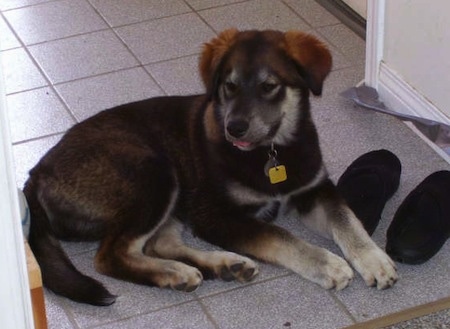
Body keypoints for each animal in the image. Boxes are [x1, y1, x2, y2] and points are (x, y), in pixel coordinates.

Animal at [24, 29, 398, 306]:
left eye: (269, 86)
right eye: (229, 85)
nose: (235, 128)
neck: (272, 150)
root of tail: (35, 175)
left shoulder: (314, 188)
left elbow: (347, 220)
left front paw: (374, 259)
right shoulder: (214, 214)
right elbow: (279, 236)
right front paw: (327, 264)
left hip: (169, 194)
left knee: (156, 244)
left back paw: (225, 265)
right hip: (154, 172)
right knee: (110, 255)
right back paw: (175, 273)